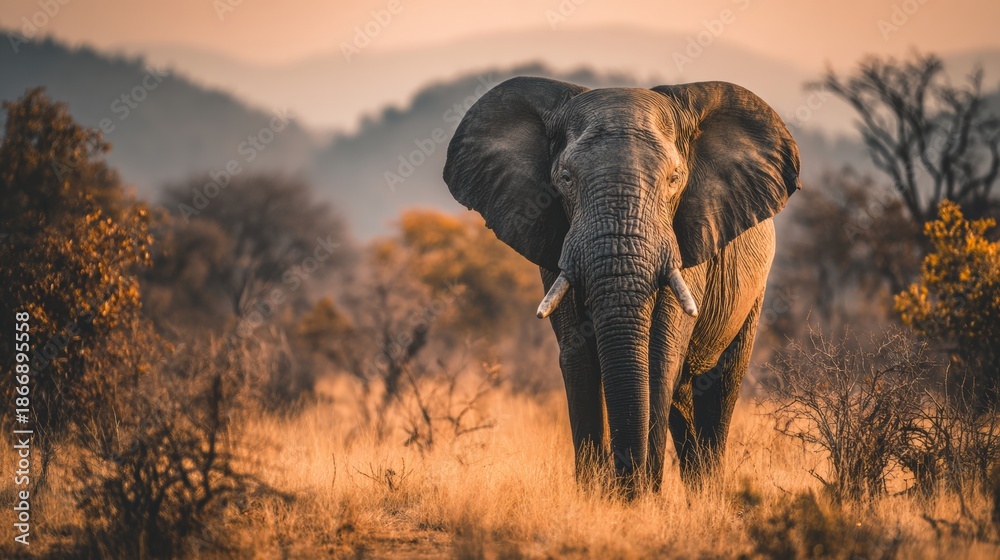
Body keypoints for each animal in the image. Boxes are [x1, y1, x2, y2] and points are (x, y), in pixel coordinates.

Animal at [443, 77, 800, 495]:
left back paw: (707, 494)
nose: (624, 483)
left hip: (754, 292)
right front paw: (597, 498)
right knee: (682, 400)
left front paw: (641, 498)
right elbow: (578, 356)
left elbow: (659, 357)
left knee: (721, 383)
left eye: (674, 179)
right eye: (565, 179)